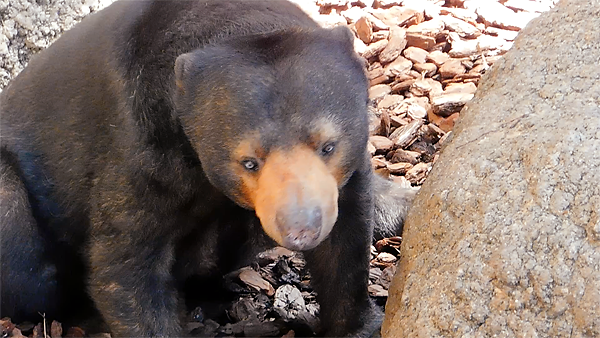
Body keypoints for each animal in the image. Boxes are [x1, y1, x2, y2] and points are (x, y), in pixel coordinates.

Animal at [0, 0, 414, 338]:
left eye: (328, 146)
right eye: (249, 161)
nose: (301, 230)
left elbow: (345, 241)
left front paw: (360, 325)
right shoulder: (142, 153)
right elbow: (126, 264)